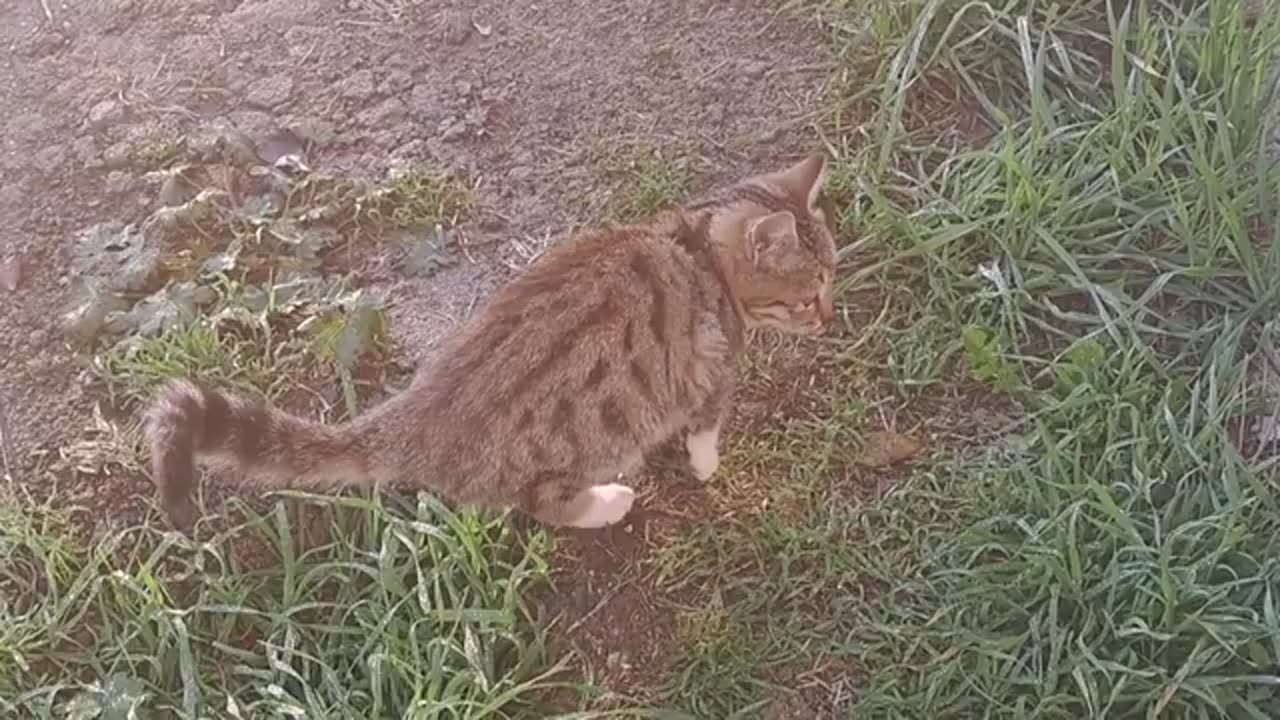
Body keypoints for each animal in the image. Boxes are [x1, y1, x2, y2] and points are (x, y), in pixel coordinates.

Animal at [145, 152, 839, 527]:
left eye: (832, 278)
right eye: (810, 295)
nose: (830, 319)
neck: (699, 249)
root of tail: (421, 417)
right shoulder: (712, 371)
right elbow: (705, 429)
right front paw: (706, 465)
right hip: (576, 445)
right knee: (540, 502)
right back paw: (609, 500)